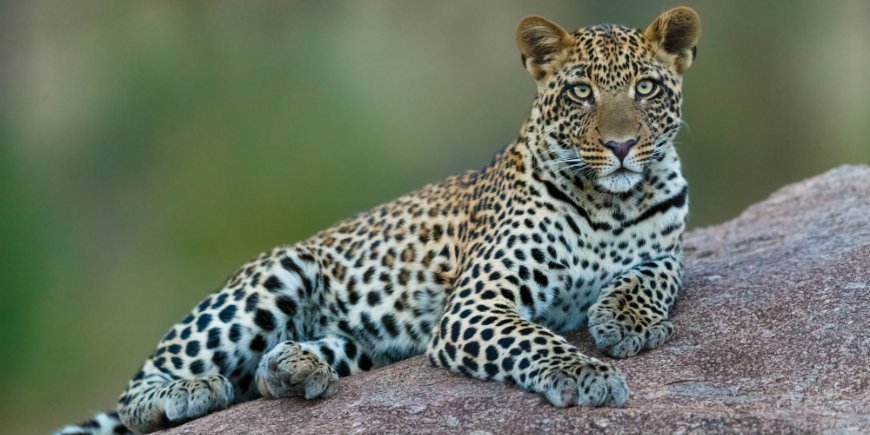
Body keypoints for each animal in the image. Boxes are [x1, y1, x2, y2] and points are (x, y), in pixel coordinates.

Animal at [58, 7, 700, 435]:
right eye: (580, 92)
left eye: (645, 88)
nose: (621, 146)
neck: (611, 204)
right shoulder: (476, 304)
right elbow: (535, 339)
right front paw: (587, 373)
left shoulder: (668, 251)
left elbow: (653, 276)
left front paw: (626, 321)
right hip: (275, 276)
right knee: (140, 391)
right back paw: (189, 390)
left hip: (365, 345)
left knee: (266, 374)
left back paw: (295, 368)